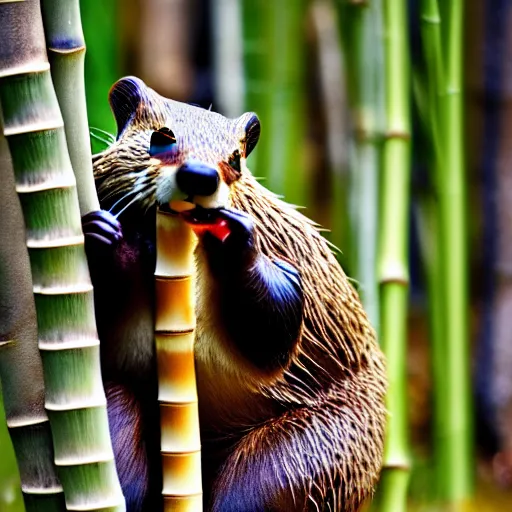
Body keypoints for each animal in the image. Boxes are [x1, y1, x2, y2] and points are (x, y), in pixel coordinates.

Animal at [83, 77, 388, 512]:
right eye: (161, 137)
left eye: (236, 159)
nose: (200, 175)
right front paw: (104, 234)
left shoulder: (288, 262)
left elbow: (277, 326)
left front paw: (236, 235)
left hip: (306, 456)